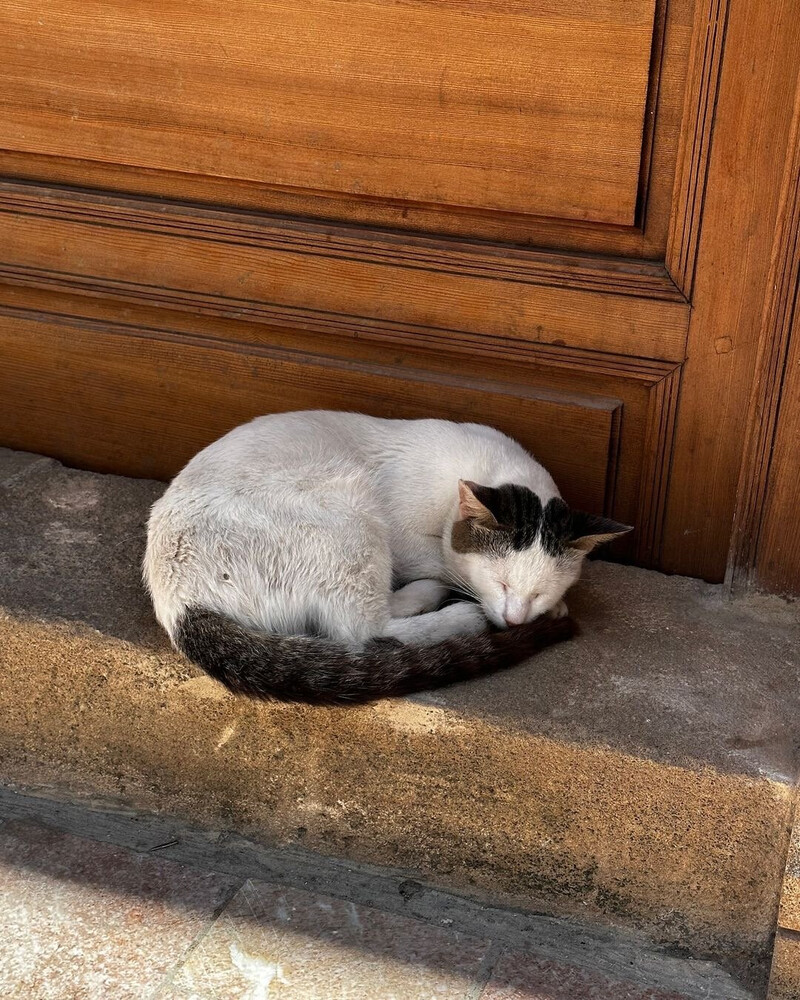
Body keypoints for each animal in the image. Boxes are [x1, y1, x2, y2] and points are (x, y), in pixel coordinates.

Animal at [144, 408, 632, 704]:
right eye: (502, 584)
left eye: (538, 593)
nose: (514, 620)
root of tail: (178, 602)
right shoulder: (407, 536)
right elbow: (443, 559)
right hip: (349, 508)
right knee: (366, 631)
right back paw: (451, 611)